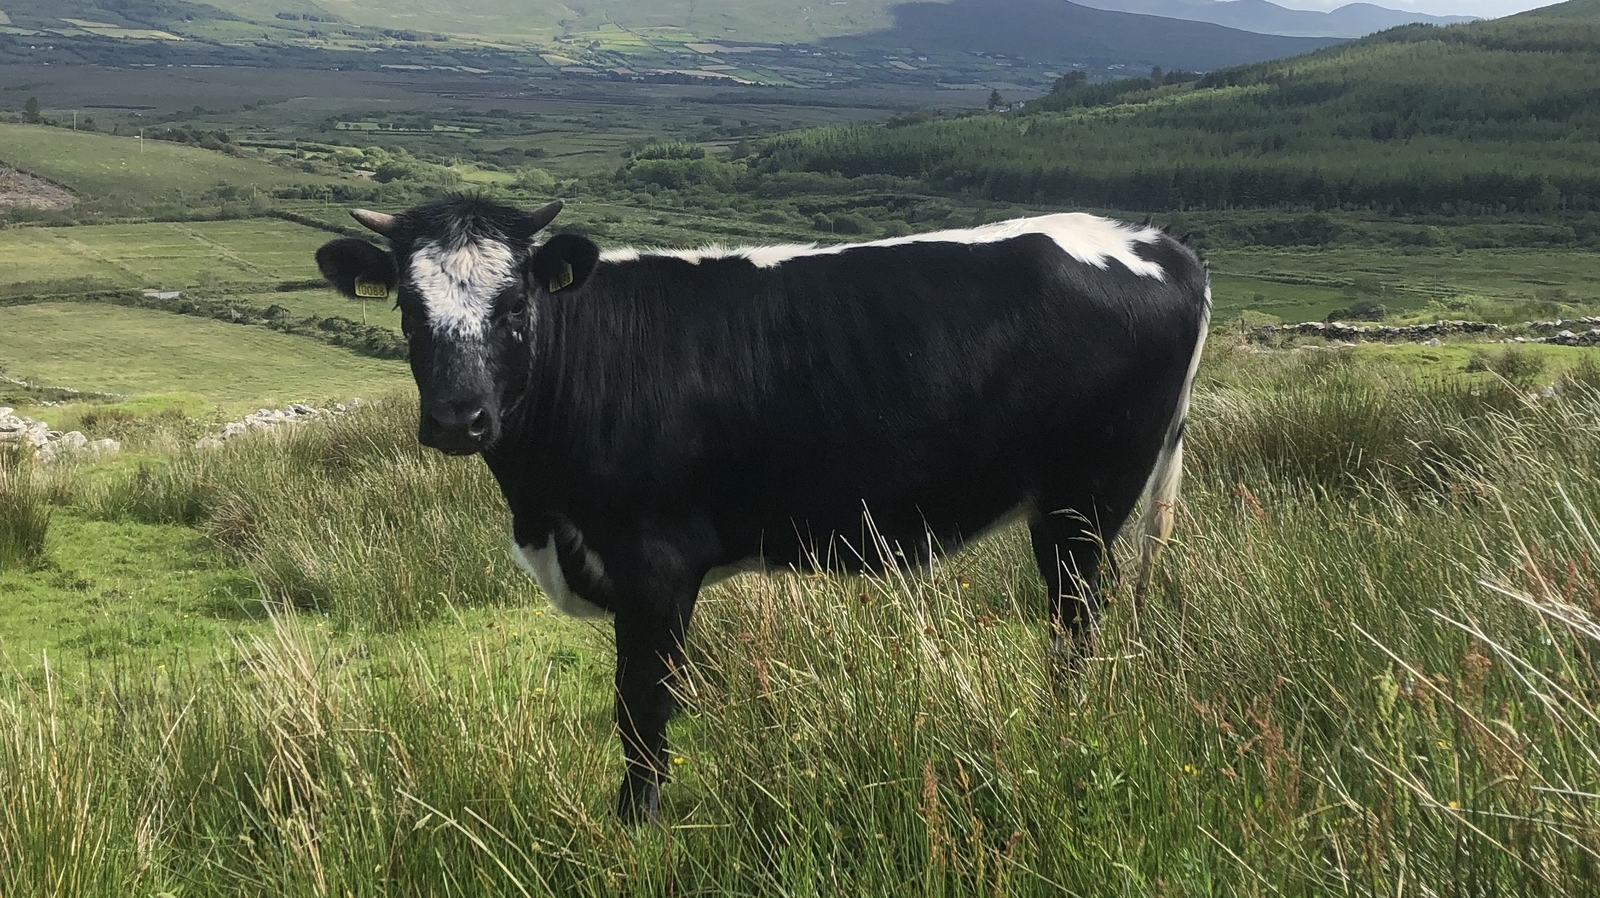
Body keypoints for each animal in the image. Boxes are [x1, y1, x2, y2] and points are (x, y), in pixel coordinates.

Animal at [314, 195, 1210, 822]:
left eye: (513, 308)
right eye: (408, 310)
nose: (458, 419)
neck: (541, 510)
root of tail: (1152, 240)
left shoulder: (656, 563)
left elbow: (641, 709)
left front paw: (635, 829)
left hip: (1082, 504)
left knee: (1073, 626)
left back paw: (1059, 738)